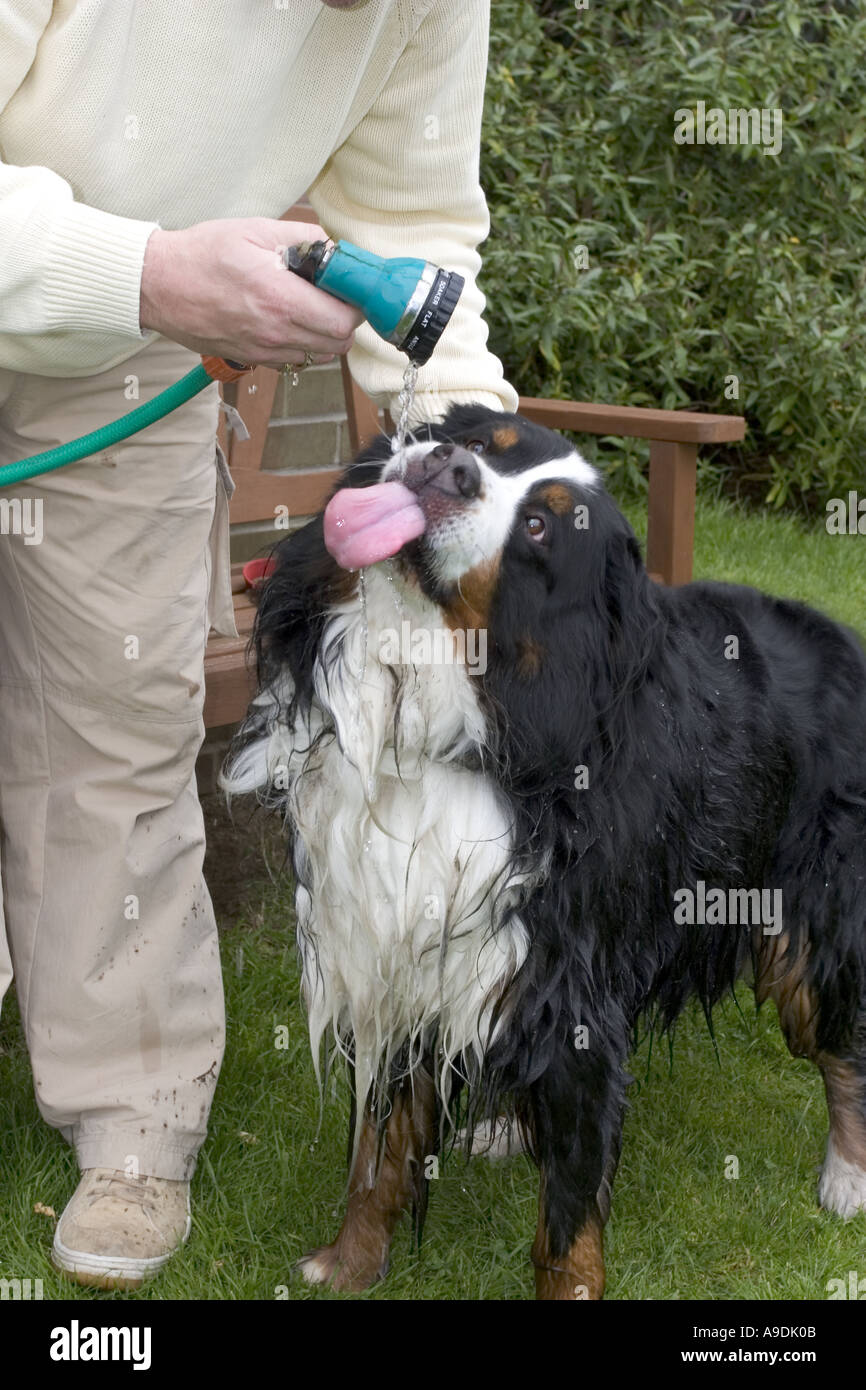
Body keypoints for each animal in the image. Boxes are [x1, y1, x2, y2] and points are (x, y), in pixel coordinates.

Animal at [222, 403, 866, 1301]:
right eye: (479, 443)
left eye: (538, 529)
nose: (448, 468)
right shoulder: (390, 955)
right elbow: (376, 1154)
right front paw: (349, 1265)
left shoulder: (570, 989)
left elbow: (566, 1225)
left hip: (807, 927)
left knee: (841, 1046)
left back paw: (849, 1175)